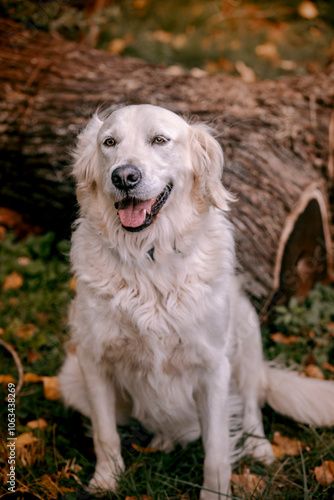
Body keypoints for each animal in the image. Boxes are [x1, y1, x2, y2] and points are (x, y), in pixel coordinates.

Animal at [58, 103, 334, 498]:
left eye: (159, 140)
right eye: (109, 142)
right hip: (70, 378)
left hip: (247, 331)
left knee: (251, 403)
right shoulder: (93, 359)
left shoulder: (213, 366)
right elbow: (104, 434)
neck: (148, 257)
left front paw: (214, 492)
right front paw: (106, 481)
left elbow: (216, 449)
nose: (123, 176)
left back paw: (259, 448)